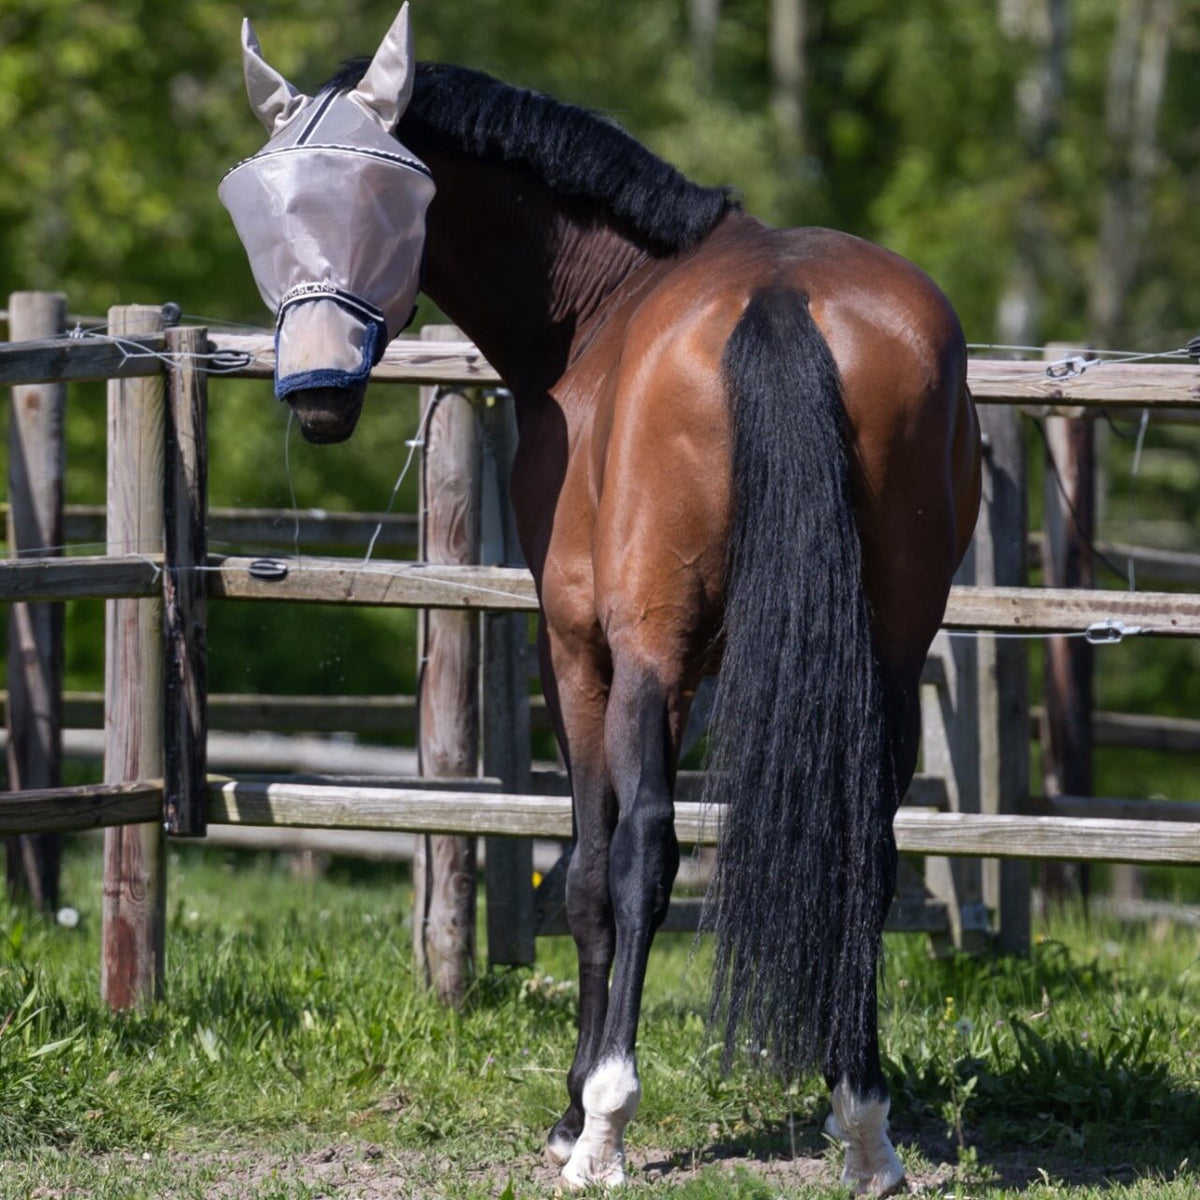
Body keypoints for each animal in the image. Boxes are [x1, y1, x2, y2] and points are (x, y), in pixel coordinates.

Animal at [221, 7, 981, 1194]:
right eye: (266, 206)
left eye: (377, 203)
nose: (318, 396)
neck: (603, 303)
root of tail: (782, 303)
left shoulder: (586, 651)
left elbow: (587, 869)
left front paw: (575, 1109)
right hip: (888, 655)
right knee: (868, 843)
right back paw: (863, 1121)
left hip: (648, 654)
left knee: (642, 858)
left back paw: (611, 1127)